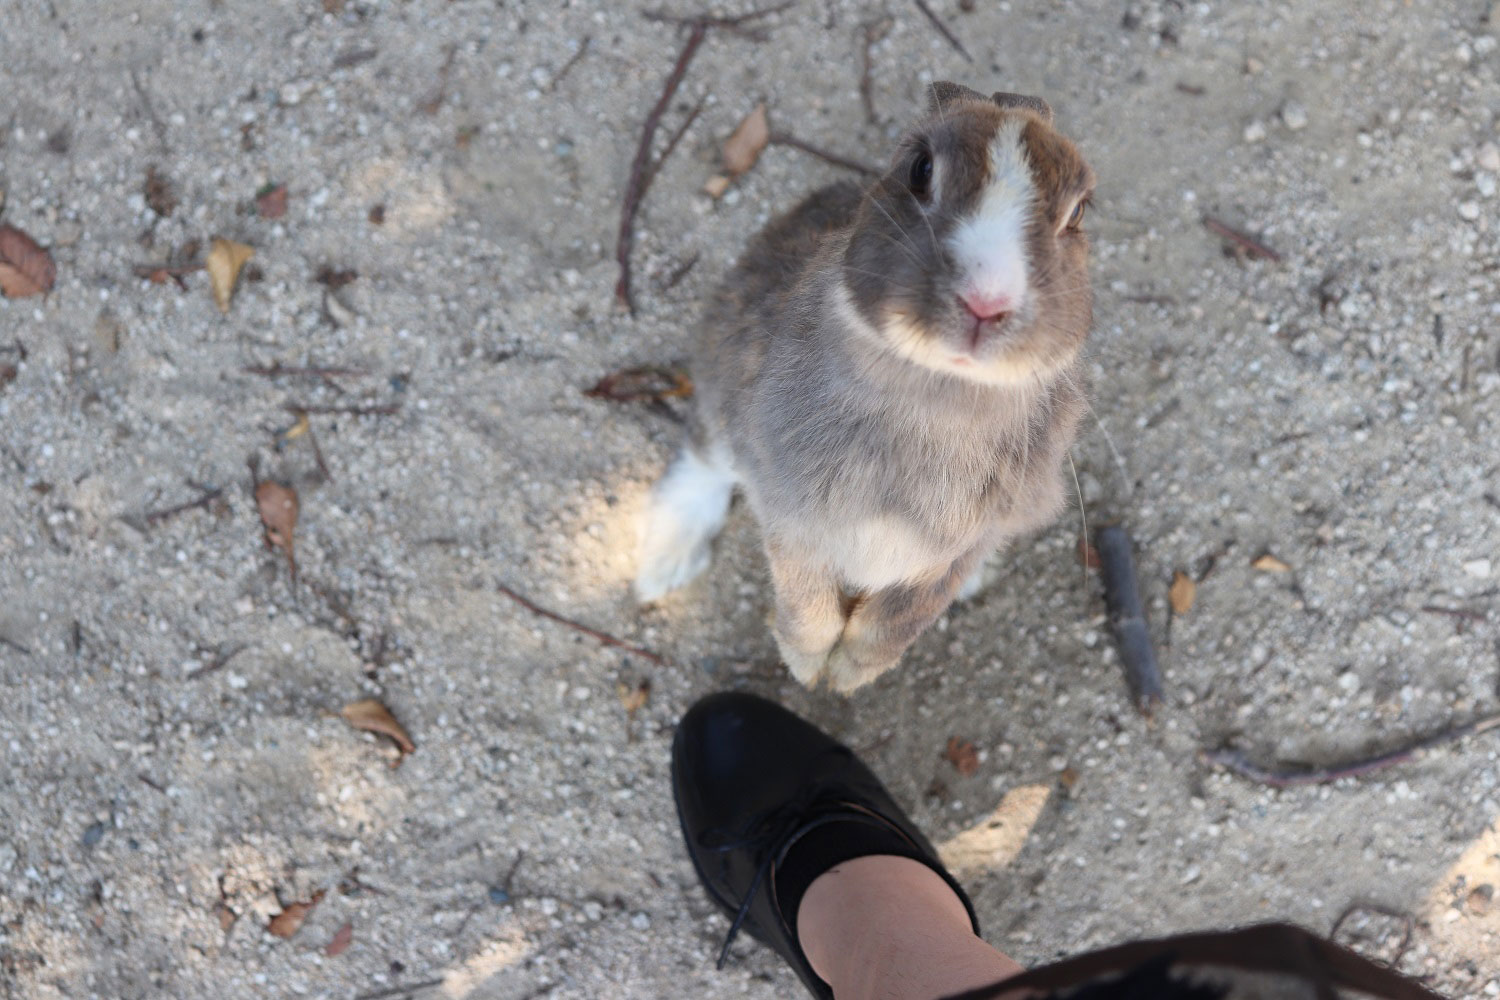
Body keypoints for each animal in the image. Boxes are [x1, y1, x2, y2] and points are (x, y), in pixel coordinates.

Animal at [639, 82, 1098, 692]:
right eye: (920, 169)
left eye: (1079, 211)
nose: (987, 300)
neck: (936, 386)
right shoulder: (793, 515)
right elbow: (805, 601)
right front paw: (810, 668)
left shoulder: (952, 551)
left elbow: (901, 618)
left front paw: (849, 675)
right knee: (704, 457)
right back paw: (661, 566)